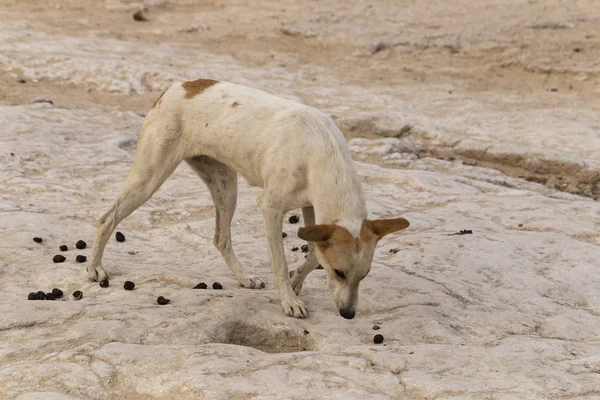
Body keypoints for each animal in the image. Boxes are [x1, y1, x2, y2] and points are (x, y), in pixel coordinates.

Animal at [86, 79, 410, 318]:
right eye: (339, 272)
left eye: (364, 275)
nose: (348, 314)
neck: (321, 150)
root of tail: (178, 86)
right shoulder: (271, 208)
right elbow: (280, 262)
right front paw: (289, 300)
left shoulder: (312, 210)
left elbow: (310, 255)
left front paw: (296, 280)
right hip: (150, 176)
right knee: (106, 218)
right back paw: (94, 268)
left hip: (226, 186)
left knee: (221, 238)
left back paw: (244, 278)